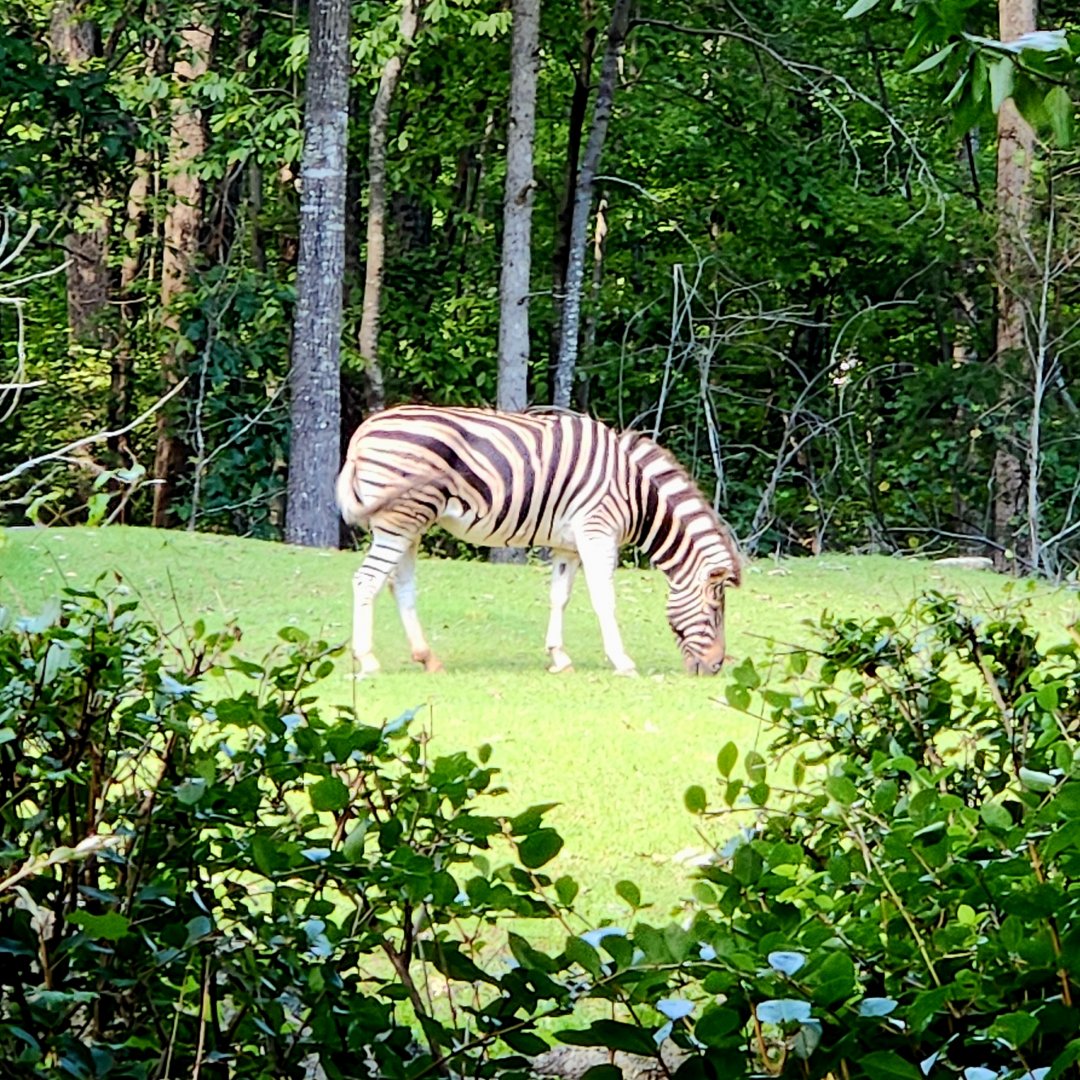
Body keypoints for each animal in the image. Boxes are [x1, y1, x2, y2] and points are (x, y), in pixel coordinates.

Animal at [335, 404, 742, 677]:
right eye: (715, 610)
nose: (716, 667)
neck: (637, 492)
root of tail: (363, 433)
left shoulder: (569, 545)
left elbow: (559, 597)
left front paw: (559, 657)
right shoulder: (597, 531)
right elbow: (604, 597)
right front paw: (622, 661)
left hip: (409, 523)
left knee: (399, 586)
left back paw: (427, 658)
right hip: (400, 519)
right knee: (366, 581)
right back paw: (367, 660)